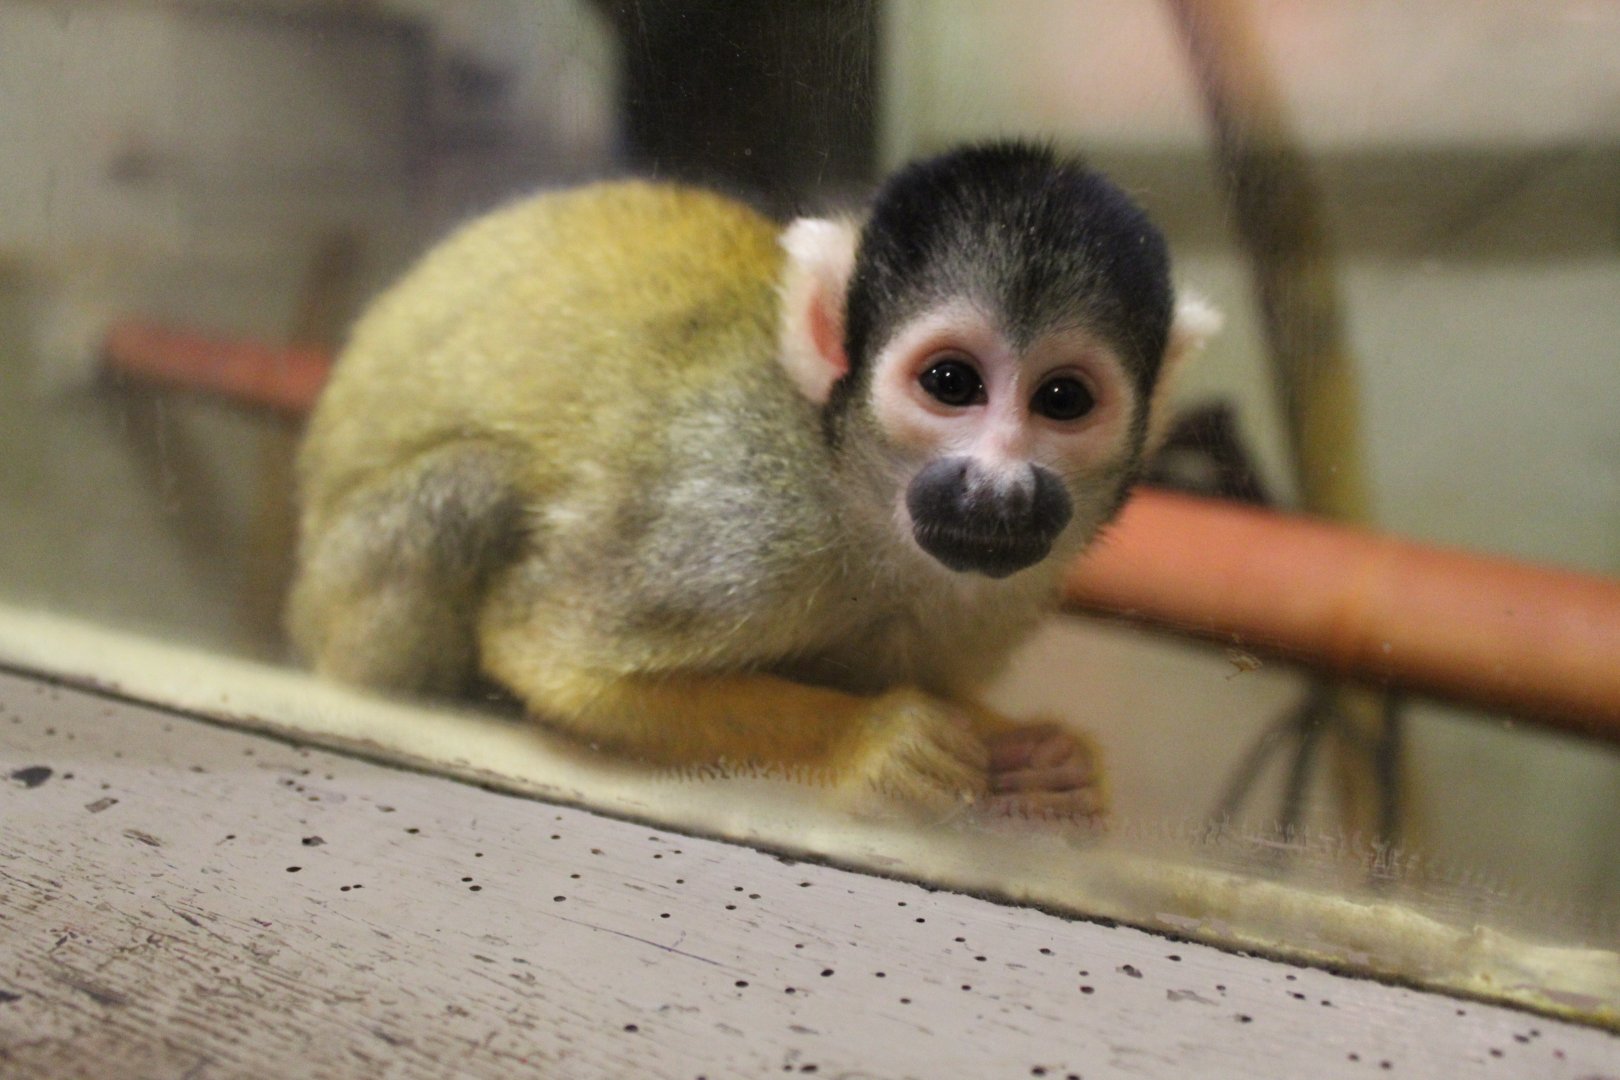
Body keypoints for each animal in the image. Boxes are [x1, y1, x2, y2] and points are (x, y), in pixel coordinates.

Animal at [288, 142, 1217, 822]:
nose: (999, 486)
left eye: (1064, 399)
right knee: (471, 488)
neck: (853, 493)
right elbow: (555, 660)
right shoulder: (735, 525)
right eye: (951, 383)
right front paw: (872, 743)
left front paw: (1043, 756)